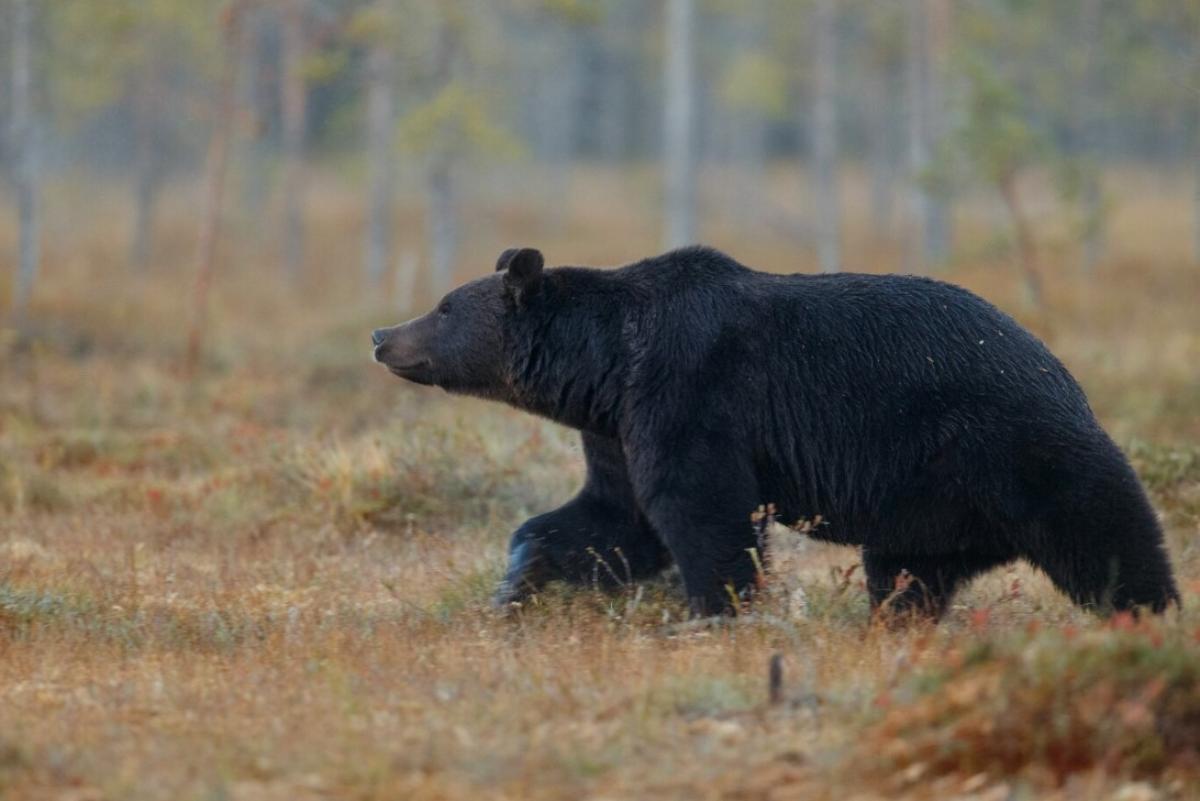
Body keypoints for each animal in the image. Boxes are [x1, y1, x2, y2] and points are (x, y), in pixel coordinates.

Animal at [374, 247, 1180, 618]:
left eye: (443, 306)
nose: (382, 333)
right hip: (926, 506)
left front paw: (713, 613)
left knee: (1106, 530)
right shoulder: (617, 427)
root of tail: (1062, 369)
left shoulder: (690, 390)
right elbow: (612, 519)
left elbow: (703, 513)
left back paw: (1151, 613)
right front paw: (514, 585)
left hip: (1010, 443)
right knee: (907, 575)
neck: (605, 364)